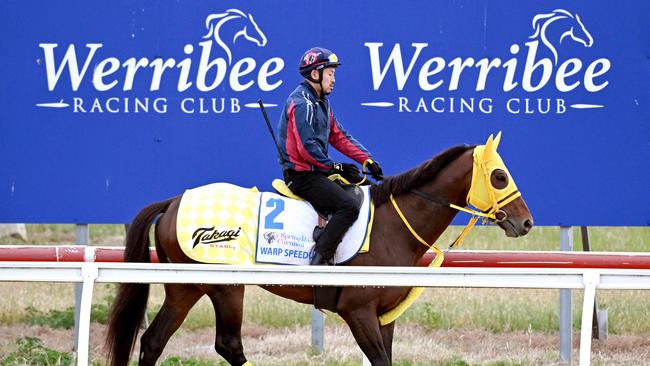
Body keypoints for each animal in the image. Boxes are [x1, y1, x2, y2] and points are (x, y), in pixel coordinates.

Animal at [105, 135, 532, 366]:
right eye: (499, 176)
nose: (526, 222)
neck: (393, 226)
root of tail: (174, 201)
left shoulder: (385, 317)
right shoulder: (358, 312)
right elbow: (379, 359)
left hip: (185, 288)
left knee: (153, 342)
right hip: (225, 287)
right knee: (227, 344)